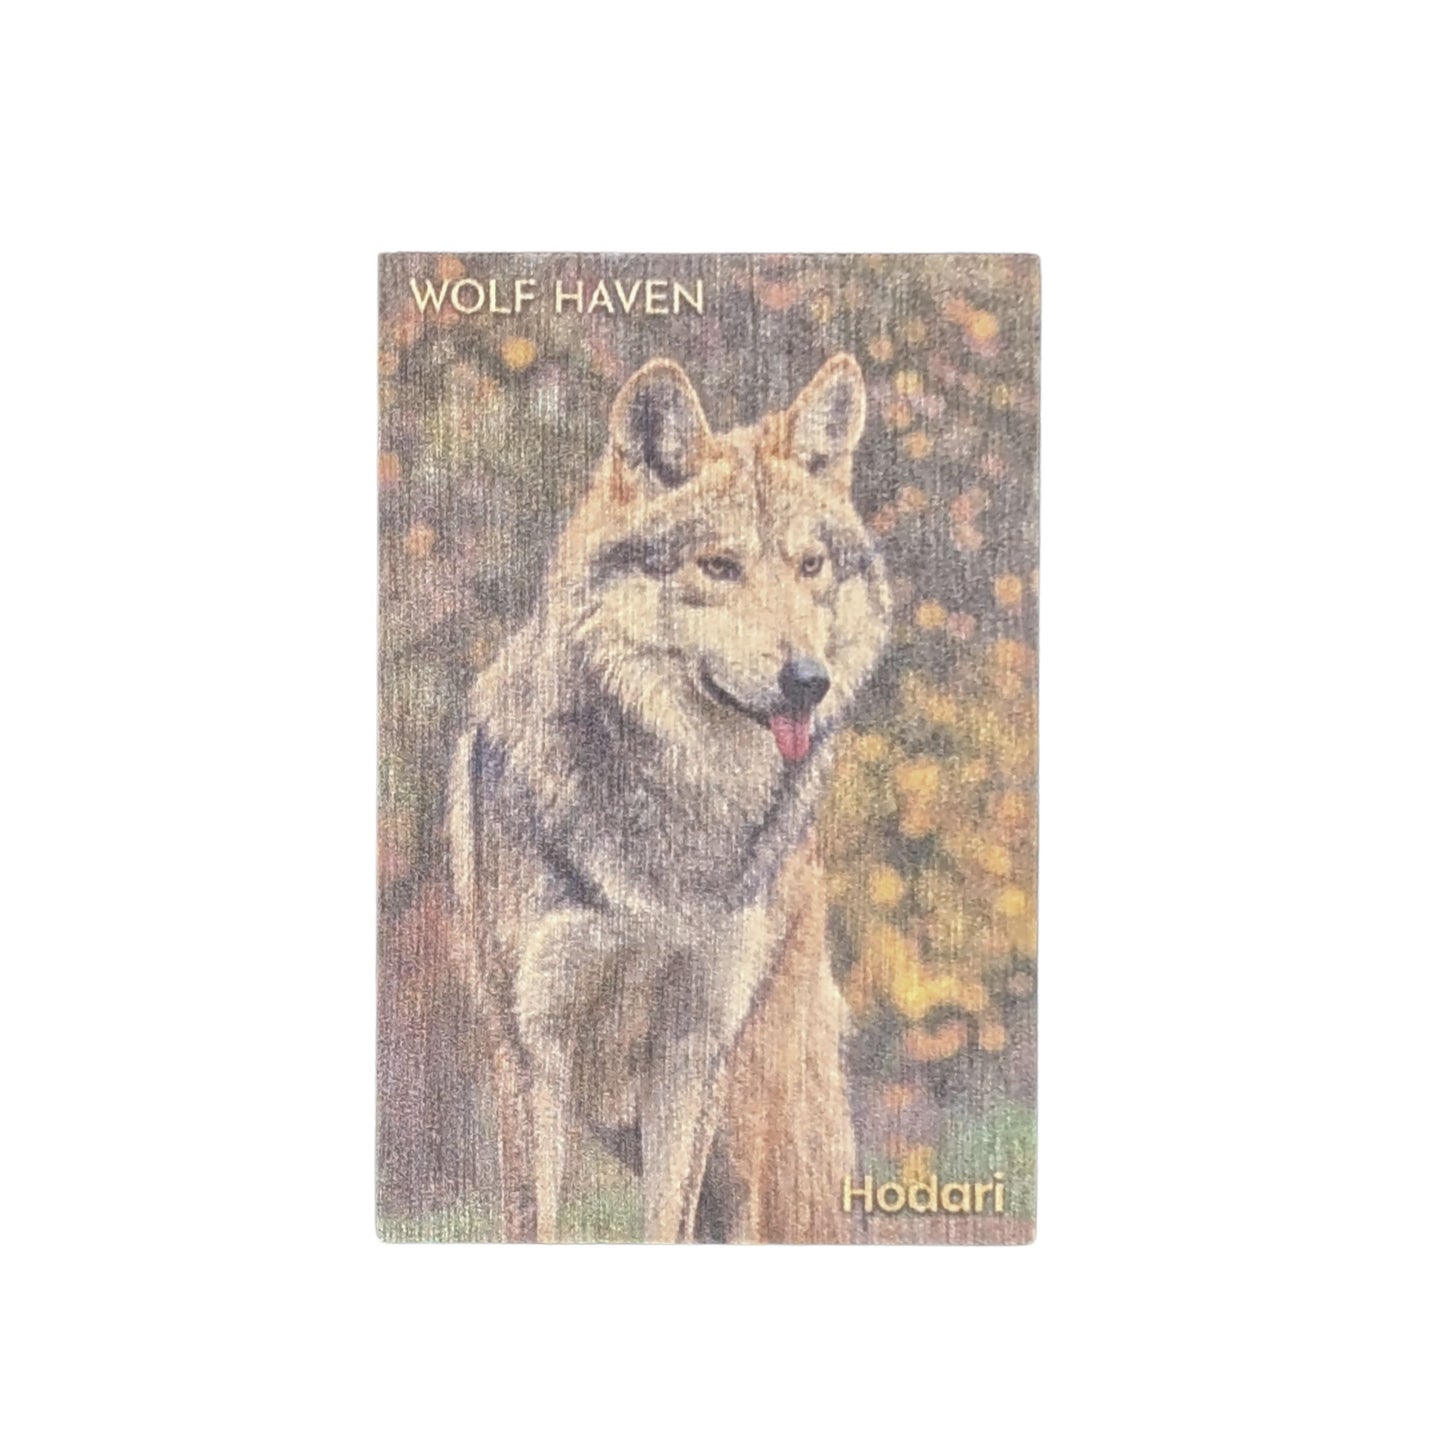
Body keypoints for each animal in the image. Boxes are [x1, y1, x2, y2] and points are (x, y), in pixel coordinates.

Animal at [447, 354, 891, 1242]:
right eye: (718, 566)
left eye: (810, 566)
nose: (809, 681)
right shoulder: (532, 1051)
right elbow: (536, 1226)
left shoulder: (692, 1052)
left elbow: (664, 1229)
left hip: (752, 1119)